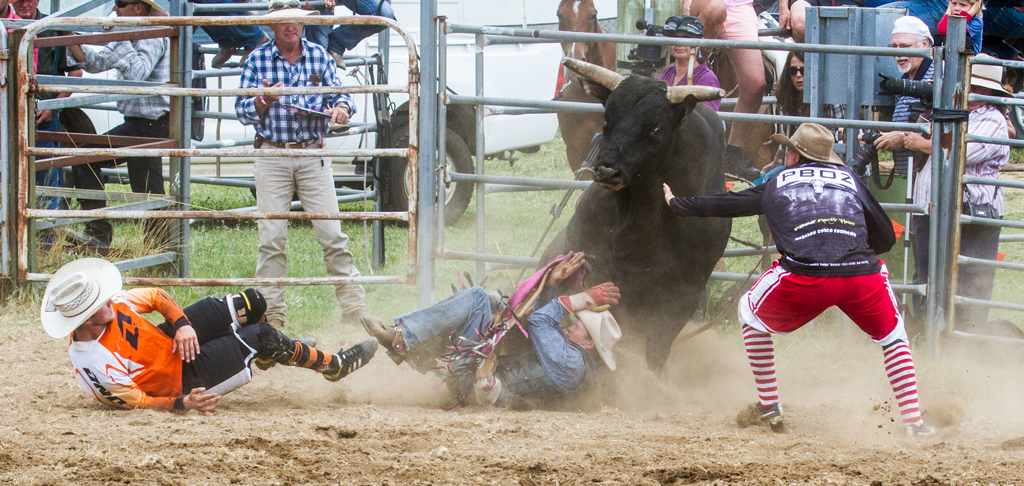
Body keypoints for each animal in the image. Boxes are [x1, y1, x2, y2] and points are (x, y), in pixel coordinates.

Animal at [543, 58, 732, 374]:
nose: (608, 170)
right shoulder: (599, 268)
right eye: (607, 120)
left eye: (655, 127)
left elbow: (657, 345)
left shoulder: (685, 291)